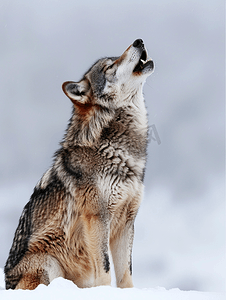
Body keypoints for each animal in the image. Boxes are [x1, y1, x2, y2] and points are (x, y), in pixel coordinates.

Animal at [4, 38, 154, 290]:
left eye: (114, 59)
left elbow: (126, 274)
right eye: (109, 67)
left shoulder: (126, 222)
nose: (139, 41)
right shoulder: (97, 218)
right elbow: (105, 267)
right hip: (48, 263)